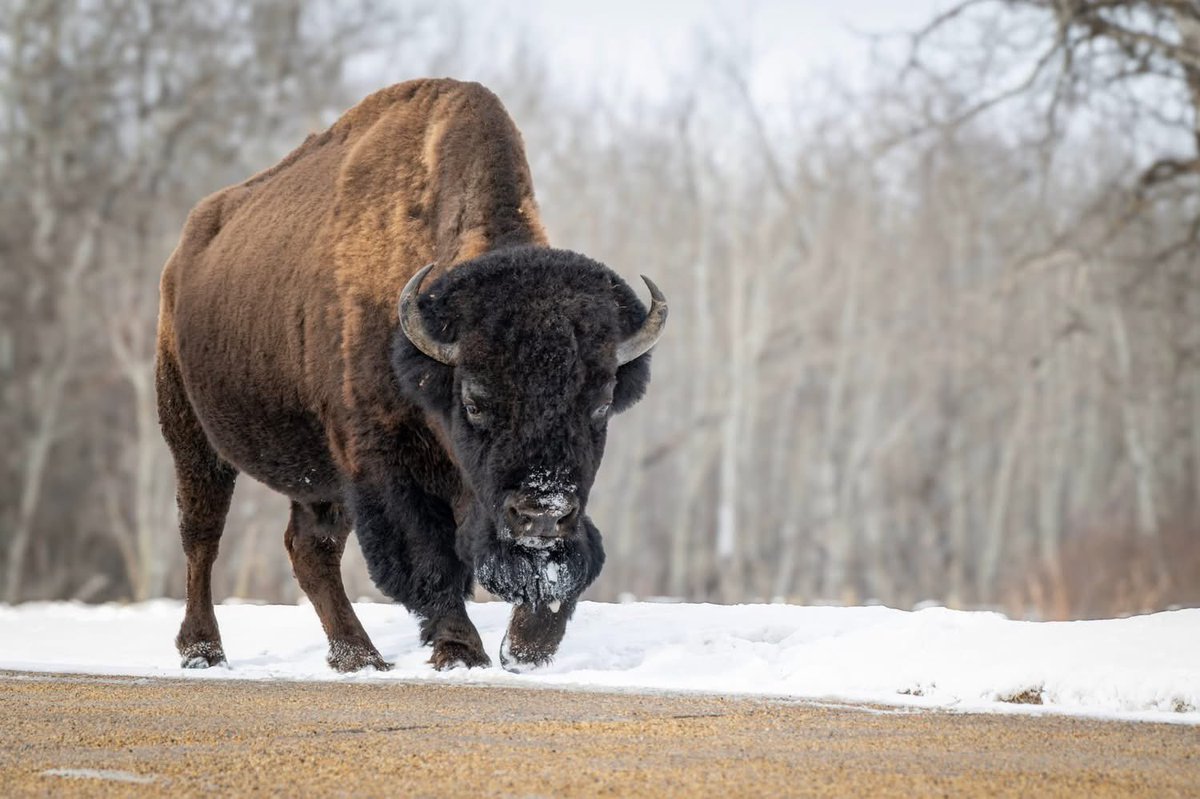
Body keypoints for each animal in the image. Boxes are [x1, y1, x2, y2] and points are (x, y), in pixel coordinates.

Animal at [156, 79, 666, 672]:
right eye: (474, 401)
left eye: (602, 403)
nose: (541, 514)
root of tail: (180, 258)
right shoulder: (382, 459)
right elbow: (426, 554)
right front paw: (461, 650)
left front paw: (527, 646)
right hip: (191, 435)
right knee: (202, 534)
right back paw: (204, 650)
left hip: (318, 477)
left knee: (309, 549)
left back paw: (358, 657)